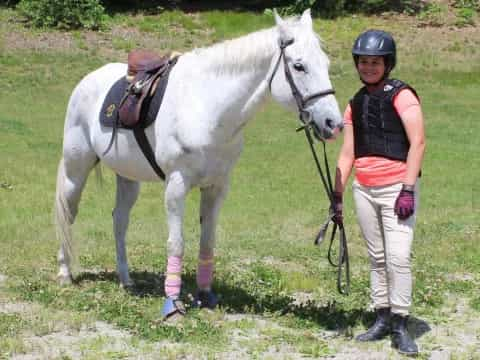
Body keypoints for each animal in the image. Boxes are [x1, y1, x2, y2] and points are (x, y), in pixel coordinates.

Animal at [54, 8, 344, 318]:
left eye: (325, 63)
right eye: (299, 66)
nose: (333, 124)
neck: (207, 105)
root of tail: (88, 80)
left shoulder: (217, 186)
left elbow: (208, 240)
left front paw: (205, 295)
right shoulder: (176, 184)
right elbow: (177, 243)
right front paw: (173, 303)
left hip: (128, 177)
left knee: (119, 220)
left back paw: (126, 279)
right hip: (75, 169)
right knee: (68, 213)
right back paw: (64, 274)